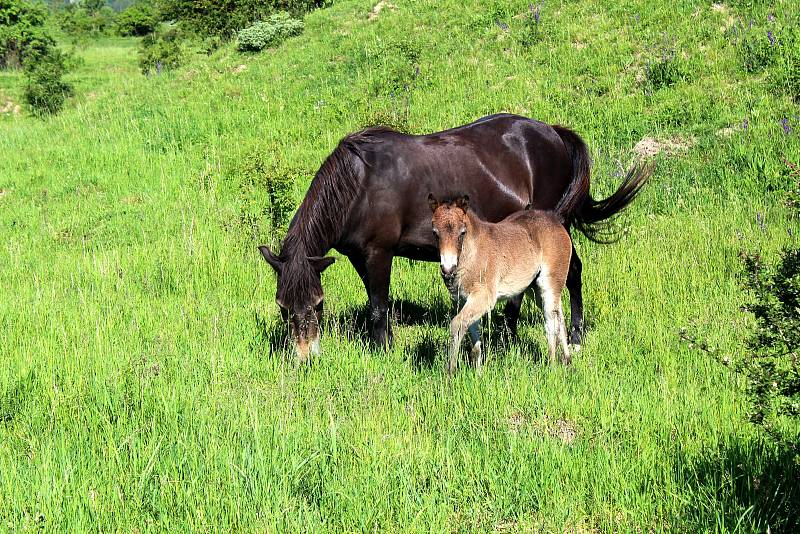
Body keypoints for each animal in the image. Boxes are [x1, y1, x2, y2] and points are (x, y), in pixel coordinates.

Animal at [432, 195, 576, 374]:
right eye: (435, 233)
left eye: (462, 232)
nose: (447, 269)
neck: (472, 253)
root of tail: (554, 219)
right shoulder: (464, 300)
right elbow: (474, 337)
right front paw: (478, 374)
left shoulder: (484, 297)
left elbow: (457, 324)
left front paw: (450, 372)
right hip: (535, 290)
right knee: (559, 315)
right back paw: (567, 360)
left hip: (549, 284)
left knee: (551, 322)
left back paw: (552, 365)